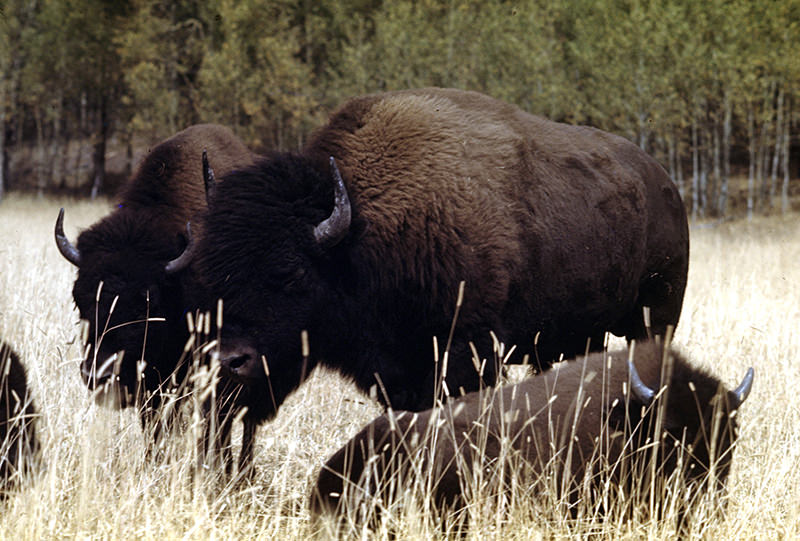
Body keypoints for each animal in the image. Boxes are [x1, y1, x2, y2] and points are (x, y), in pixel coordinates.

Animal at [188, 86, 688, 434]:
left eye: (290, 274)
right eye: (211, 277)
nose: (230, 361)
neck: (358, 238)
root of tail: (664, 182)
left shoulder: (468, 355)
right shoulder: (399, 373)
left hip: (653, 319)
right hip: (573, 338)